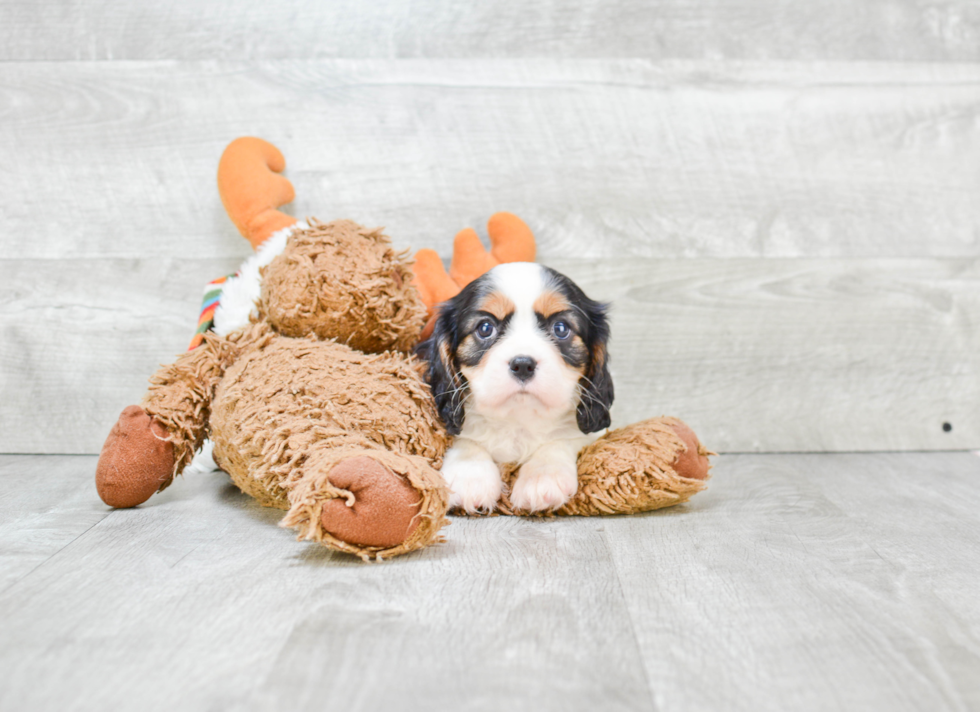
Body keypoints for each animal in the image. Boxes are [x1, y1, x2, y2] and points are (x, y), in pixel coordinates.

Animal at [416, 262, 612, 512]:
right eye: (485, 328)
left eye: (560, 328)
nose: (523, 365)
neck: (517, 418)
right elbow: (466, 439)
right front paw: (469, 475)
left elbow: (562, 439)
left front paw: (543, 477)